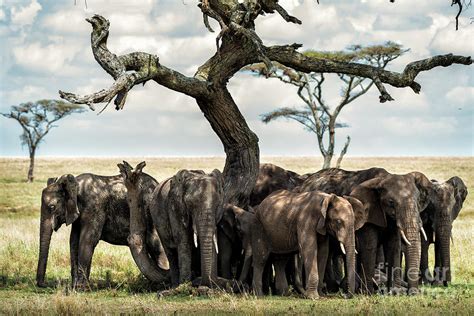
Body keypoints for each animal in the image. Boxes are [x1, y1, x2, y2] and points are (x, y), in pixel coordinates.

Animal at [36, 173, 168, 288]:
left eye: (52, 207)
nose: (43, 284)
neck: (76, 184)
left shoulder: (95, 207)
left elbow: (88, 240)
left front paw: (80, 288)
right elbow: (73, 241)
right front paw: (75, 287)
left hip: (151, 213)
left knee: (156, 247)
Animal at [302, 168, 436, 294]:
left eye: (418, 201)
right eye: (391, 202)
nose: (414, 293)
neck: (383, 178)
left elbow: (394, 247)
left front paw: (395, 292)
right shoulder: (367, 214)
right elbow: (369, 246)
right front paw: (368, 293)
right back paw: (331, 289)